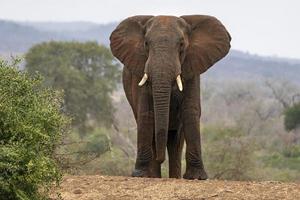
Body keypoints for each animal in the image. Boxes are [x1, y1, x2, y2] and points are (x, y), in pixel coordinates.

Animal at [110, 14, 232, 179]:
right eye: (146, 43)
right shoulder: (140, 71)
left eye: (181, 44)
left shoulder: (193, 71)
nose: (160, 159)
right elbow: (146, 113)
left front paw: (196, 177)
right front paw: (140, 175)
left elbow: (190, 111)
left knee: (176, 142)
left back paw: (174, 176)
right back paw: (154, 176)